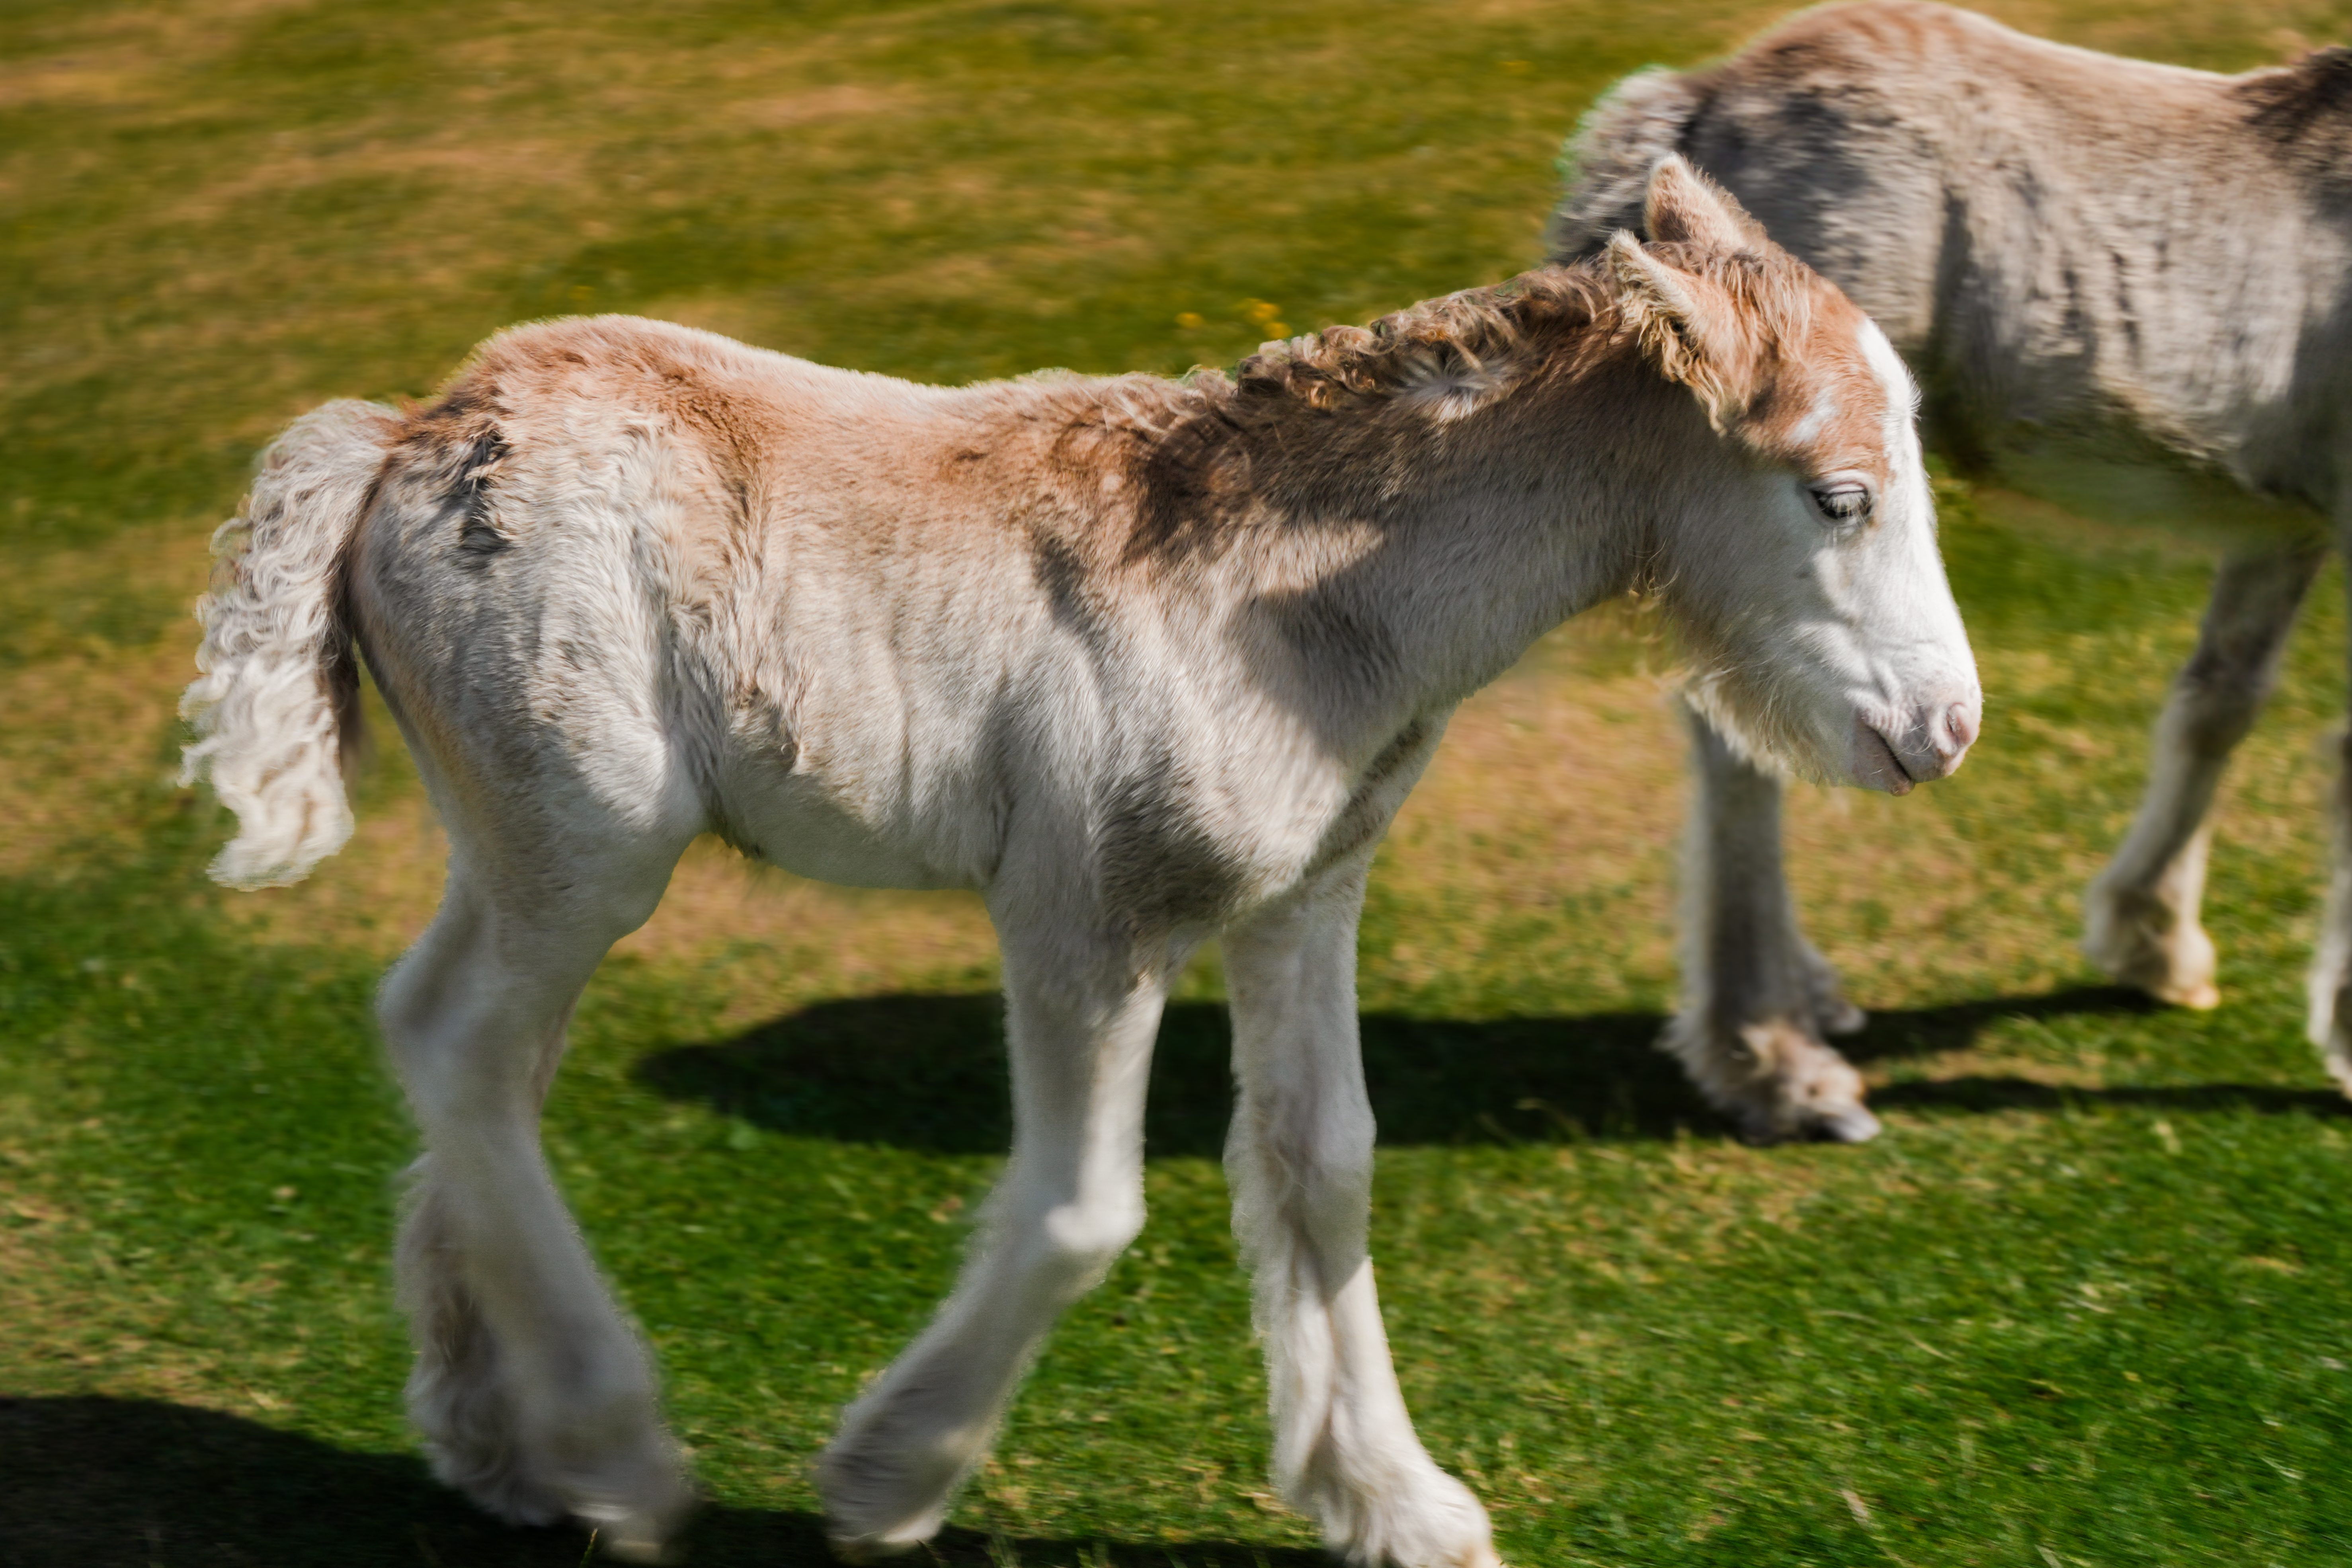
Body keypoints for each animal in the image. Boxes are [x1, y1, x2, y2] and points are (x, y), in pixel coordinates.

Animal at [181, 160, 1977, 1566]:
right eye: (1835, 494)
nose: (1942, 729)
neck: (1290, 606)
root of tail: (403, 434)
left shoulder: (1302, 897)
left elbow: (1323, 1164)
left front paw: (1395, 1504)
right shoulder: (1085, 917)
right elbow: (1079, 1208)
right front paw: (883, 1479)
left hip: (523, 842)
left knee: (457, 1042)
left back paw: (499, 1445)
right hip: (593, 836)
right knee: (463, 1046)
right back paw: (616, 1450)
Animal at [1554, 0, 2352, 1142]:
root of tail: (1697, 98)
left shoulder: (2278, 525)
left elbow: (2216, 704)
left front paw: (2150, 942)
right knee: (1740, 750)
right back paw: (1770, 1063)